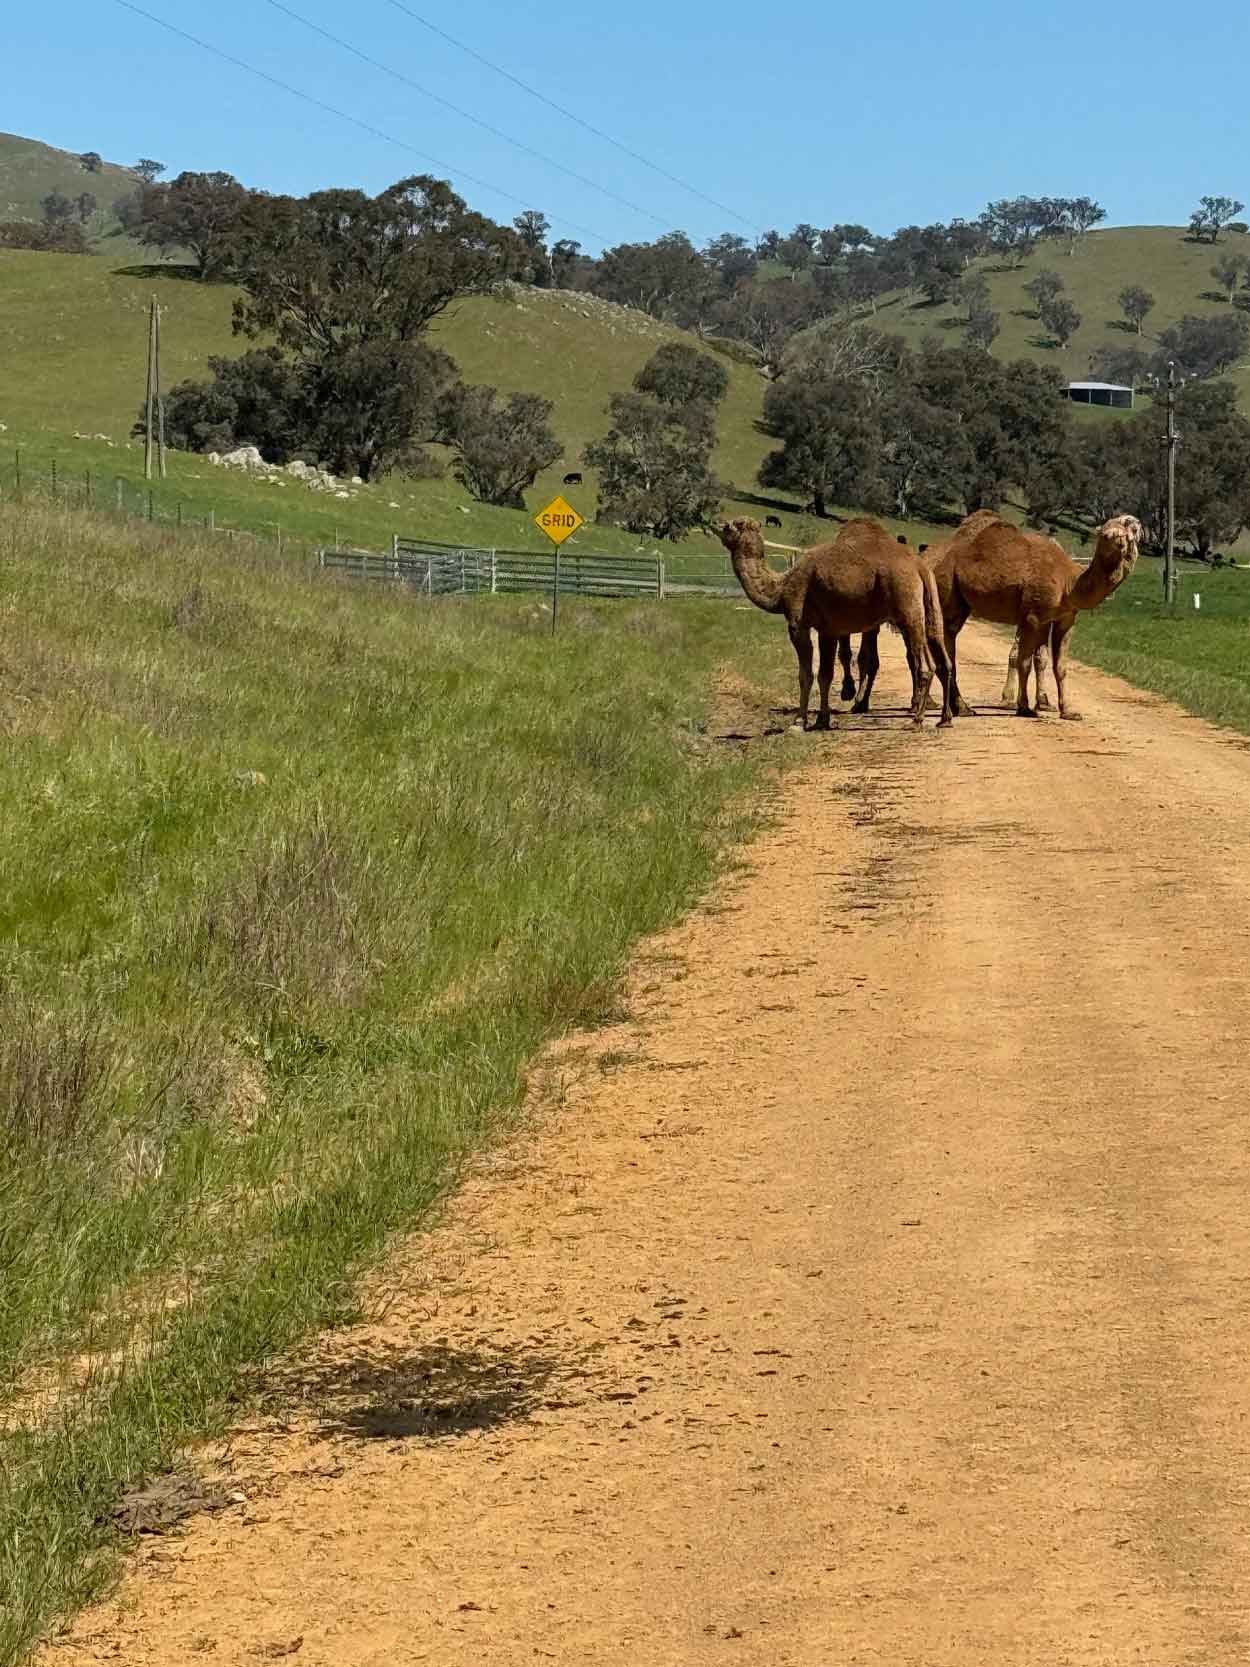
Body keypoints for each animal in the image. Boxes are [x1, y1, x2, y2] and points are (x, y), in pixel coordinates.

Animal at [720, 516, 953, 733]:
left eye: (731, 526)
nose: (715, 523)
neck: (782, 587)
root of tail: (919, 567)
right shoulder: (828, 630)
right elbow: (826, 674)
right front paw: (822, 720)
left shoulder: (798, 624)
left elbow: (806, 674)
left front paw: (799, 722)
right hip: (929, 609)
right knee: (941, 656)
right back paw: (944, 718)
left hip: (905, 604)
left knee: (924, 664)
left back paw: (916, 720)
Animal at [933, 506, 1146, 716]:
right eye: (1105, 534)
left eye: (1133, 528)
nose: (1116, 539)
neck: (1069, 584)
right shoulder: (1032, 617)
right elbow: (1024, 662)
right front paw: (1024, 707)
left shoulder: (1064, 619)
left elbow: (1058, 665)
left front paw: (1066, 710)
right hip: (948, 588)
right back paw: (959, 707)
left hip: (961, 602)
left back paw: (958, 707)